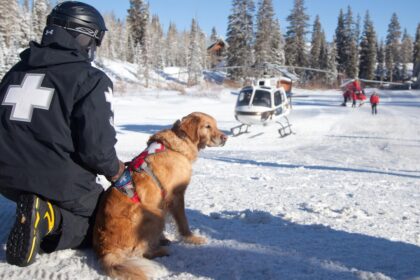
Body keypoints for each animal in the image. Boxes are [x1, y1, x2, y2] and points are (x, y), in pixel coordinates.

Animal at [94, 112, 228, 280]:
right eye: (207, 126)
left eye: (215, 125)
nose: (225, 138)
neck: (179, 144)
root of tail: (105, 250)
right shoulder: (176, 195)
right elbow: (183, 222)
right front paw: (192, 238)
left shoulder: (164, 201)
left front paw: (163, 238)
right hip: (155, 215)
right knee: (141, 252)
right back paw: (161, 251)